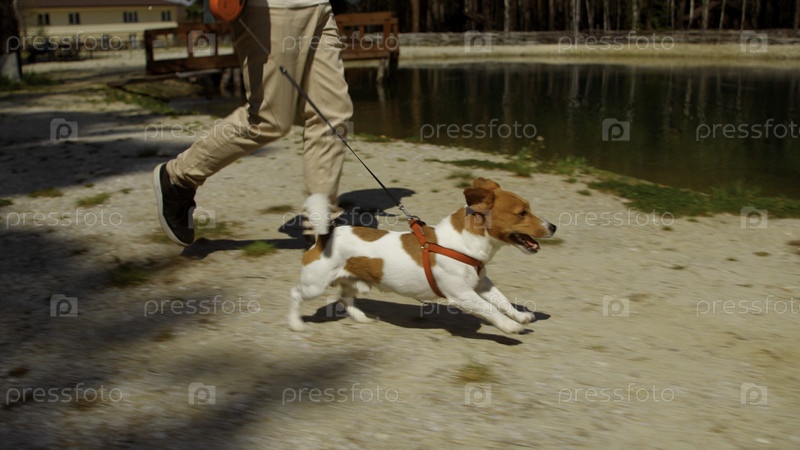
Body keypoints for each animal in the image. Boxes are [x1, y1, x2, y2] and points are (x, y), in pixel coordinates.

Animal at [289, 177, 556, 334]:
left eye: (529, 208)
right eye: (522, 213)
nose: (553, 226)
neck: (463, 243)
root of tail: (325, 236)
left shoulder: (482, 284)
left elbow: (502, 301)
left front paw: (519, 316)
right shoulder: (462, 295)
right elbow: (490, 310)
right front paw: (510, 326)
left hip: (354, 282)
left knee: (345, 299)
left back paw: (362, 318)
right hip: (315, 285)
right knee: (296, 294)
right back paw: (295, 323)